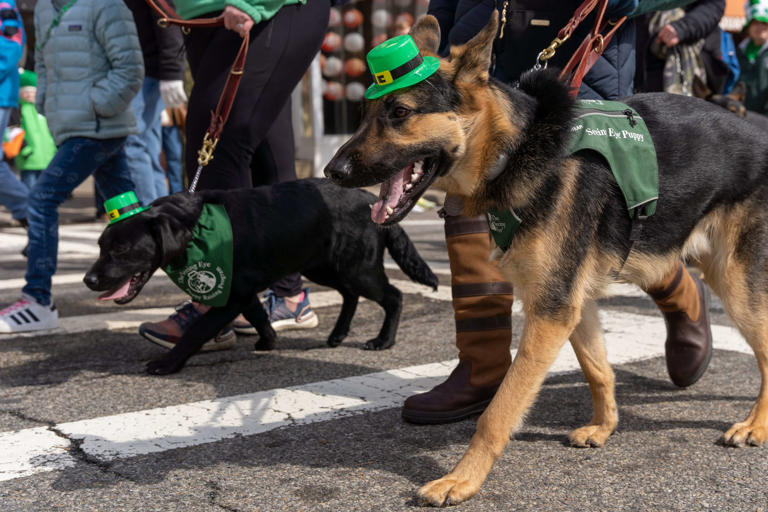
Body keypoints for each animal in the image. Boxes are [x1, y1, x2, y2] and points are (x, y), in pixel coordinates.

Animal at [84, 178, 438, 374]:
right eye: (101, 246)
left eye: (121, 249)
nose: (89, 280)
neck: (195, 226)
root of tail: (372, 200)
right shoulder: (242, 291)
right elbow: (258, 316)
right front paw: (268, 341)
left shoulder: (229, 295)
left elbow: (196, 332)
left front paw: (168, 364)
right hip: (323, 266)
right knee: (349, 295)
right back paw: (337, 335)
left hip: (358, 268)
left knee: (393, 296)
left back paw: (383, 341)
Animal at [326, 14, 768, 506]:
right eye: (364, 115)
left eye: (400, 113)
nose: (331, 172)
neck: (513, 148)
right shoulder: (570, 305)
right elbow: (598, 369)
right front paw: (604, 427)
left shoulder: (551, 311)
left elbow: (498, 410)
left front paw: (462, 478)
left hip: (736, 284)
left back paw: (755, 425)